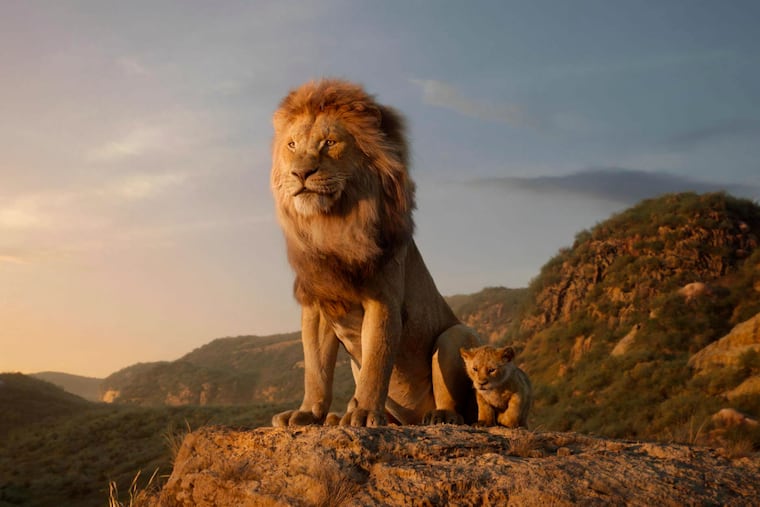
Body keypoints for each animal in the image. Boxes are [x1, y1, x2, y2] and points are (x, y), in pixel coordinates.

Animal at [269, 79, 482, 427]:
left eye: (329, 142)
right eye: (291, 145)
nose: (300, 173)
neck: (332, 225)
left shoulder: (383, 300)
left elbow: (376, 362)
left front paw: (366, 413)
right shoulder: (317, 304)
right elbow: (316, 369)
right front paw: (308, 413)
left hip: (455, 336)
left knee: (458, 406)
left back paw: (438, 416)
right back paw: (337, 416)